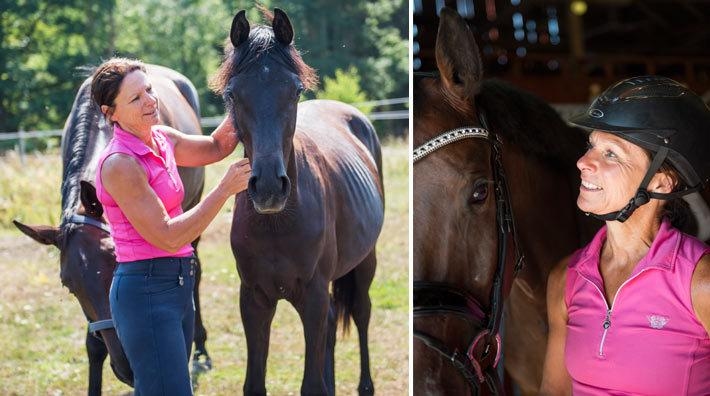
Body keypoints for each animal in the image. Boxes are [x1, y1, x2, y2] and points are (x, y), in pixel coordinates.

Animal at [13, 63, 213, 394]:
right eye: (68, 284)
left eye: (116, 262)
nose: (128, 367)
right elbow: (93, 345)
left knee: (195, 272)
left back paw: (201, 350)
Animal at [211, 6, 386, 396]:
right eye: (233, 94)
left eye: (295, 91)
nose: (268, 187)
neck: (278, 223)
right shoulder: (254, 299)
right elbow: (255, 384)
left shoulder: (314, 296)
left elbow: (312, 384)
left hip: (365, 262)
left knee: (362, 314)